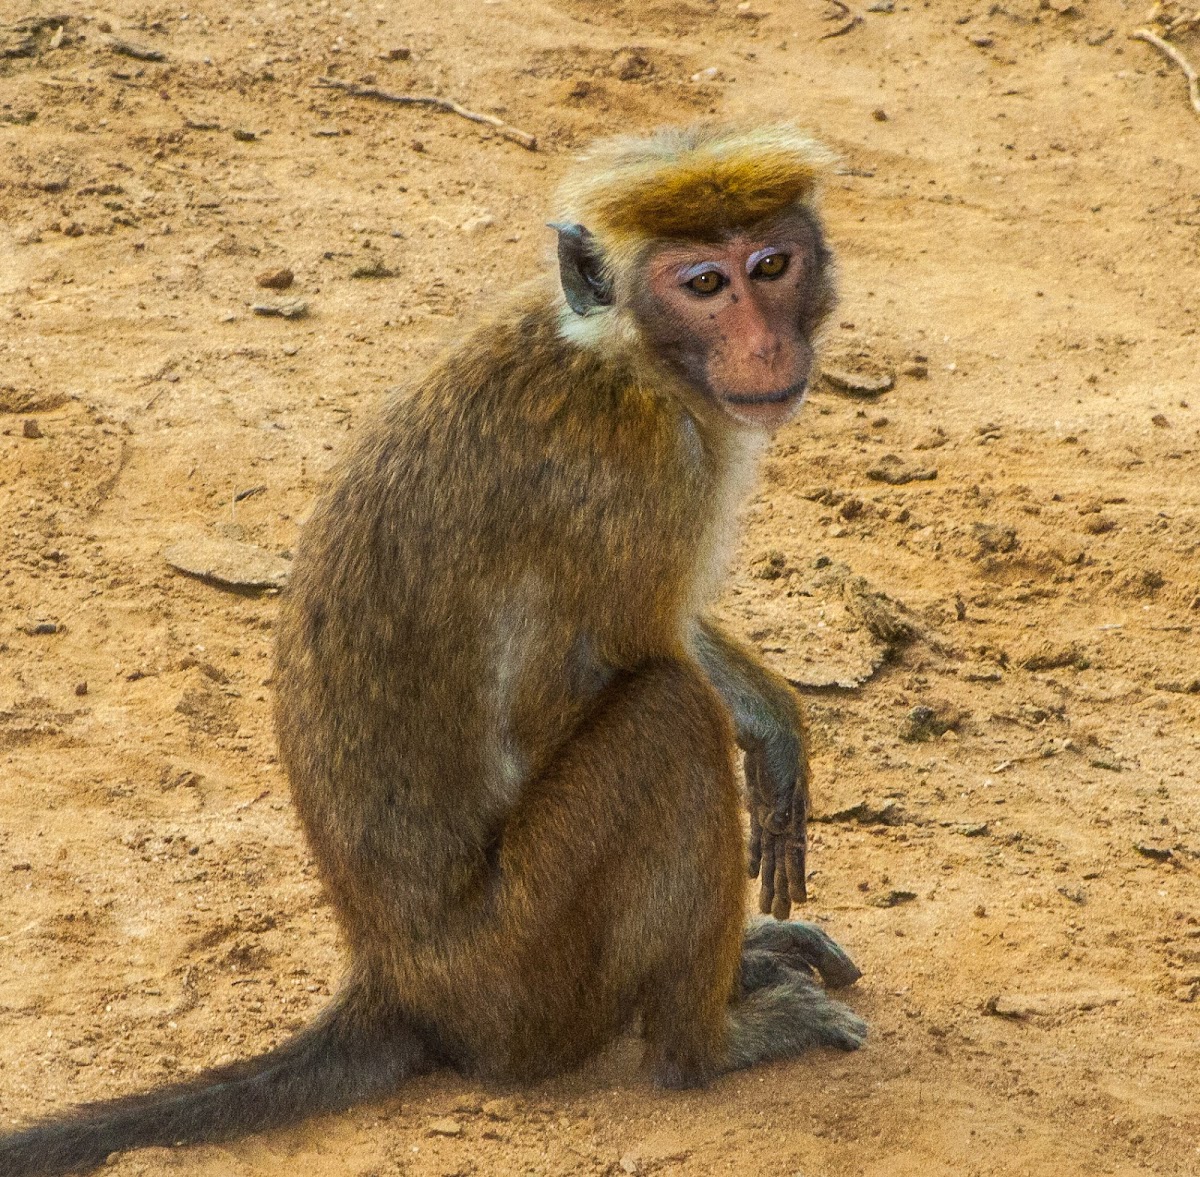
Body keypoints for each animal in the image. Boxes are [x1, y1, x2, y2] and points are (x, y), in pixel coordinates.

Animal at [0, 124, 864, 1171]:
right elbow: (611, 667)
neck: (621, 359)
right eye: (704, 284)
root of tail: (397, 979)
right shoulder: (638, 470)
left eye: (771, 266)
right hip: (524, 968)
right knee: (666, 712)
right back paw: (703, 1044)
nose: (765, 341)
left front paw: (774, 725)